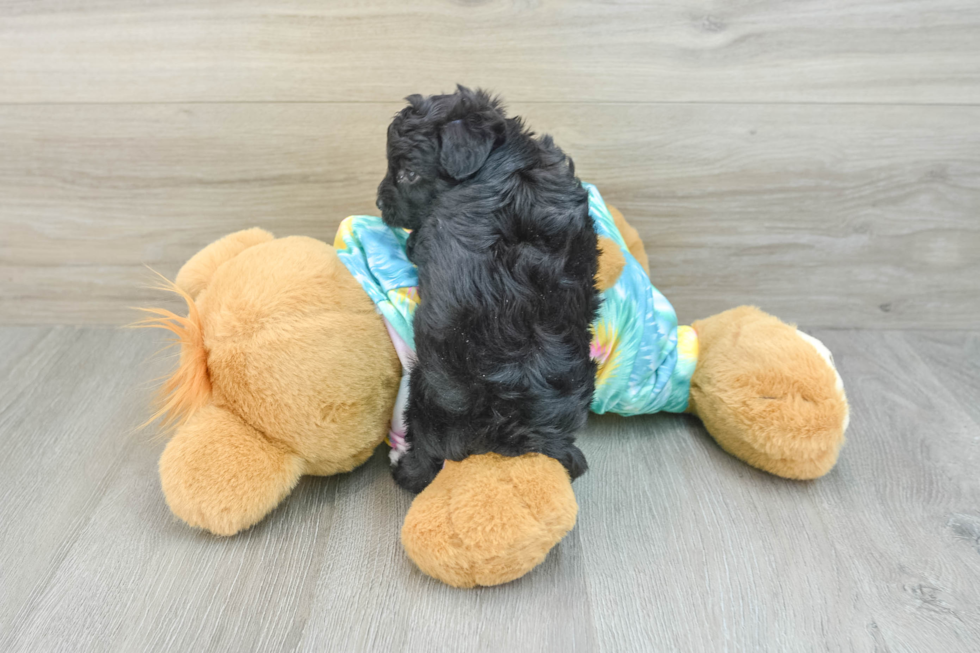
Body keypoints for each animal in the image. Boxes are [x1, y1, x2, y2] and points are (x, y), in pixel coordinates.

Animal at [378, 88, 600, 494]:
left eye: (407, 173)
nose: (379, 204)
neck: (503, 159)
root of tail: (507, 431)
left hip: (422, 393)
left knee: (424, 458)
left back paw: (404, 468)